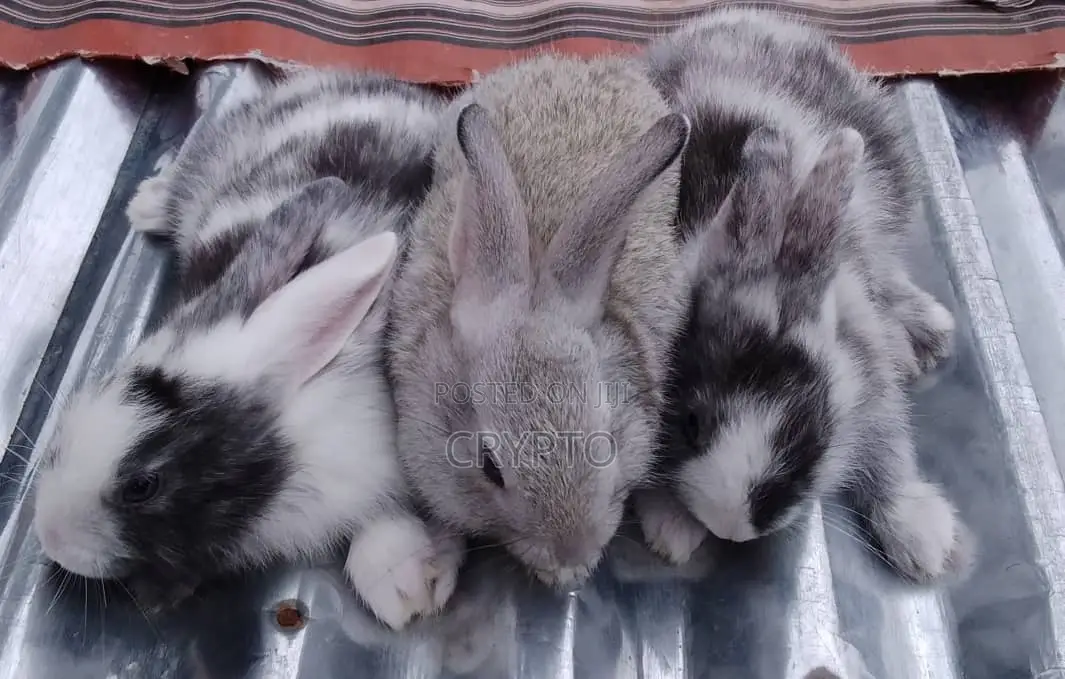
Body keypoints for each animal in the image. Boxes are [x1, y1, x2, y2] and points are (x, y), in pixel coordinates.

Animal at [633, 9, 974, 584]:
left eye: (808, 437)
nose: (731, 527)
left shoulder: (868, 378)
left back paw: (925, 332)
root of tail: (747, 15)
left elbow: (890, 449)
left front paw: (923, 538)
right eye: (692, 424)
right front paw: (671, 529)